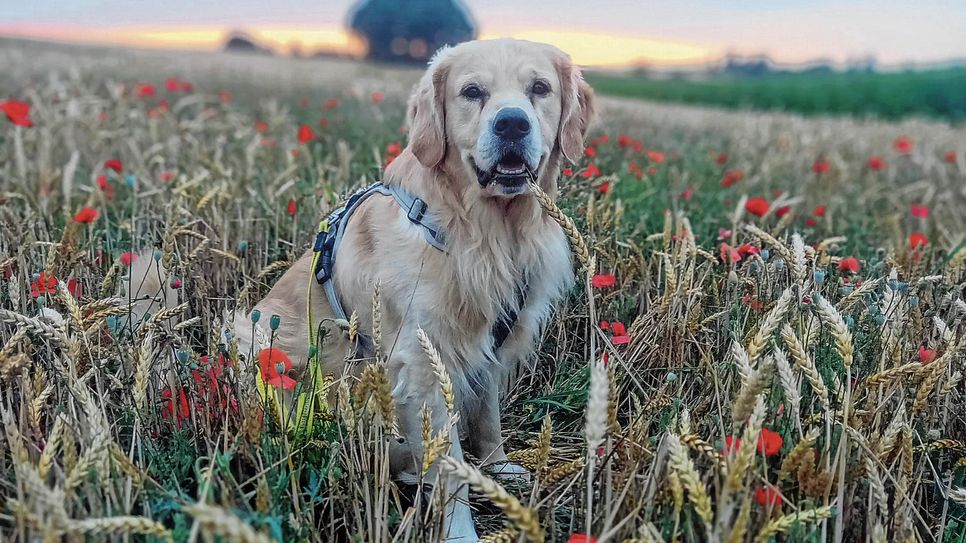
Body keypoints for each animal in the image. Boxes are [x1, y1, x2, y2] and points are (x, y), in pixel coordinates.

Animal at [228, 39, 596, 543]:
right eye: (472, 92)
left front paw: (497, 467)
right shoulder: (424, 364)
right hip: (256, 339)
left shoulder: (490, 345)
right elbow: (448, 462)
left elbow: (487, 415)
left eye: (539, 88)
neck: (485, 230)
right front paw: (460, 528)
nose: (512, 123)